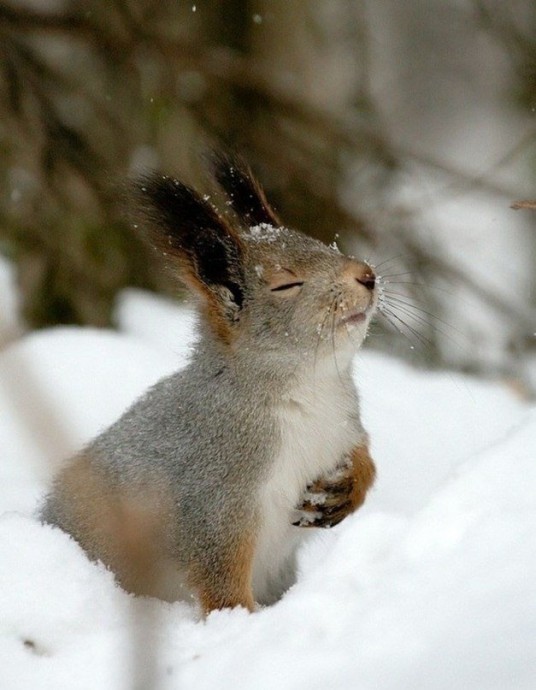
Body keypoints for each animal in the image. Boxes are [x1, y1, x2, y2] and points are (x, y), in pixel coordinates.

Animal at [38, 152, 376, 612]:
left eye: (324, 244)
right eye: (286, 284)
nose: (367, 274)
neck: (310, 390)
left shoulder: (343, 425)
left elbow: (364, 458)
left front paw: (349, 486)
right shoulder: (215, 494)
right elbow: (220, 576)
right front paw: (240, 621)